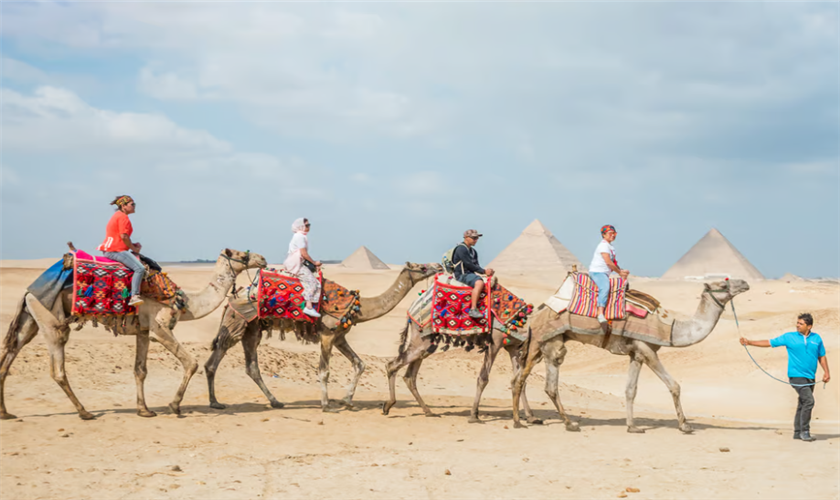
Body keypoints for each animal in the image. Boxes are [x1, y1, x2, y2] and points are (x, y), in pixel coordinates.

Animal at [0, 248, 266, 420]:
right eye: (242, 254)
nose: (262, 258)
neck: (186, 302)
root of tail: (28, 291)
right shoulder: (159, 328)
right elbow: (190, 362)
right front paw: (174, 406)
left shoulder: (143, 331)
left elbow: (140, 370)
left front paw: (144, 410)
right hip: (52, 321)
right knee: (58, 369)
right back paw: (84, 412)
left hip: (31, 319)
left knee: (10, 356)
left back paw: (5, 412)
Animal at [205, 262, 440, 410]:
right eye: (421, 267)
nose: (437, 266)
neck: (359, 308)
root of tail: (232, 297)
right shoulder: (327, 334)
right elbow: (324, 371)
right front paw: (327, 405)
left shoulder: (340, 337)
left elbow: (359, 364)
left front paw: (347, 401)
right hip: (236, 322)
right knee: (216, 357)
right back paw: (216, 402)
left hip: (252, 329)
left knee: (250, 366)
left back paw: (274, 402)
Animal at [508, 280, 752, 432]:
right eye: (723, 284)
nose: (745, 283)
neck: (670, 328)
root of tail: (537, 312)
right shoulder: (647, 348)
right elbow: (674, 385)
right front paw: (685, 425)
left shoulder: (636, 353)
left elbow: (630, 390)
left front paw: (633, 426)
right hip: (549, 341)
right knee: (531, 380)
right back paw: (530, 423)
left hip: (546, 343)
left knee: (530, 381)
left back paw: (554, 422)